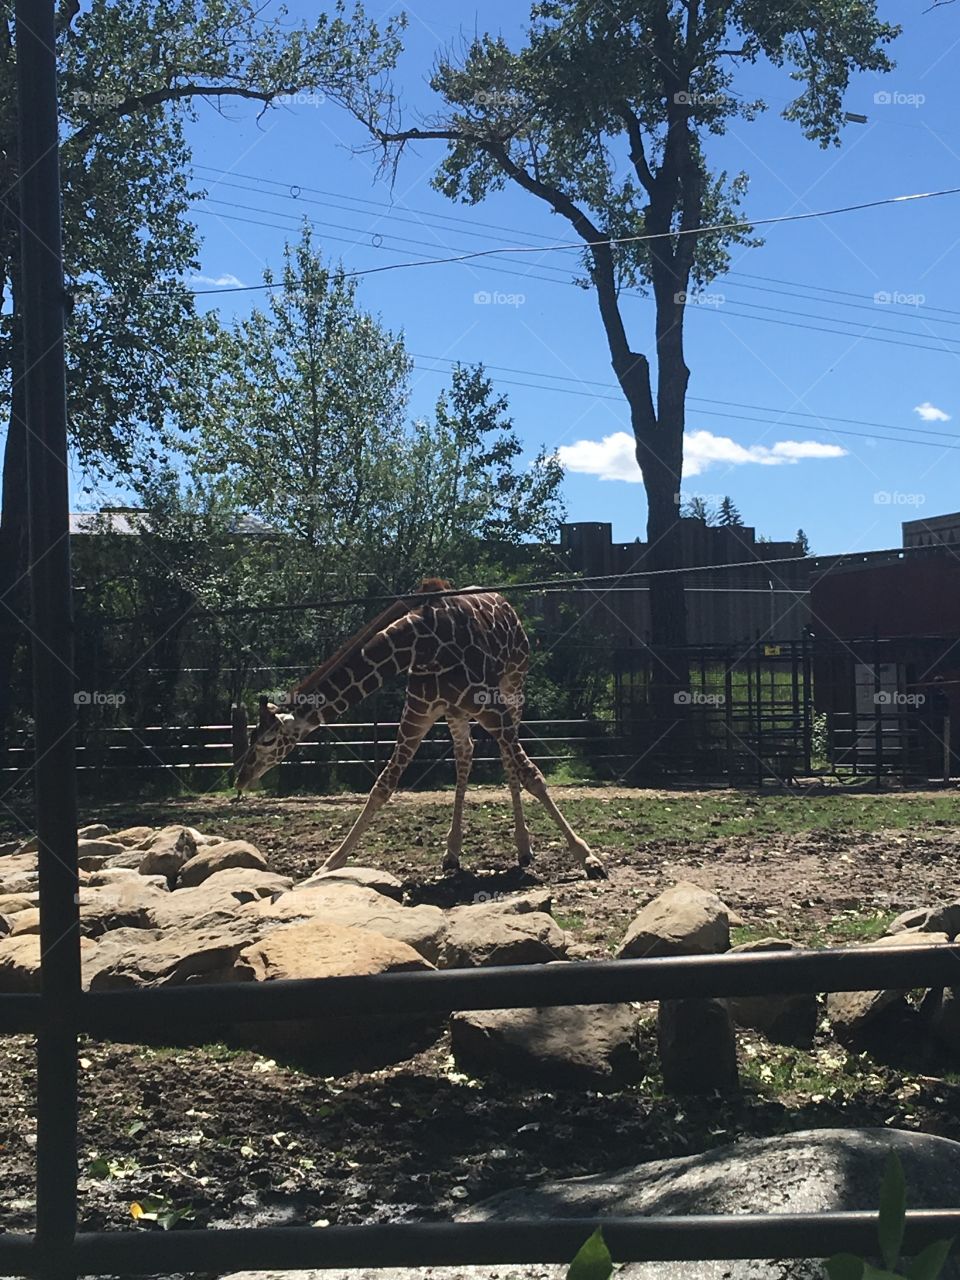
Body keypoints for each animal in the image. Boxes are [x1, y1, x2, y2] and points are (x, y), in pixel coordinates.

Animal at [233, 579, 607, 879]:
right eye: (250, 736)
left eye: (267, 740)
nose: (241, 778)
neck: (420, 647)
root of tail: (508, 606)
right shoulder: (418, 713)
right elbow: (383, 785)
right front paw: (329, 864)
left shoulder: (491, 706)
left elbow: (533, 775)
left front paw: (588, 858)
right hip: (457, 712)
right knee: (466, 755)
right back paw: (453, 854)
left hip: (513, 686)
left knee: (507, 757)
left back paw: (524, 848)